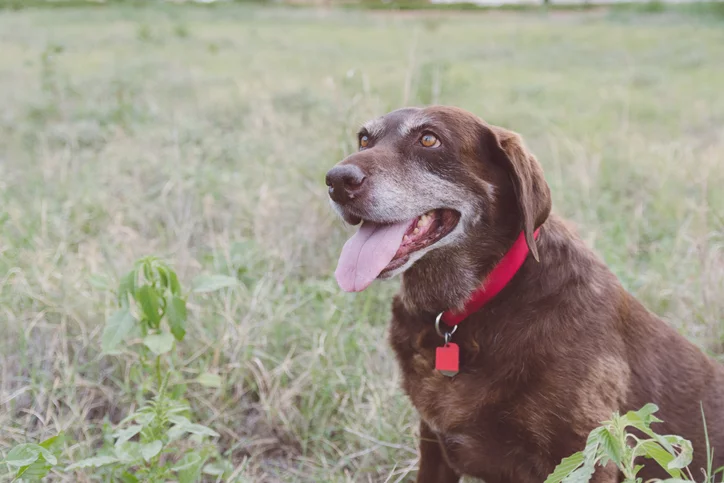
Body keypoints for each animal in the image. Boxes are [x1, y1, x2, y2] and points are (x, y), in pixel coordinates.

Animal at [326, 107, 724, 483]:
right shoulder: (433, 443)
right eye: (364, 139)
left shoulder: (588, 455)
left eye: (428, 139)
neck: (469, 308)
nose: (336, 180)